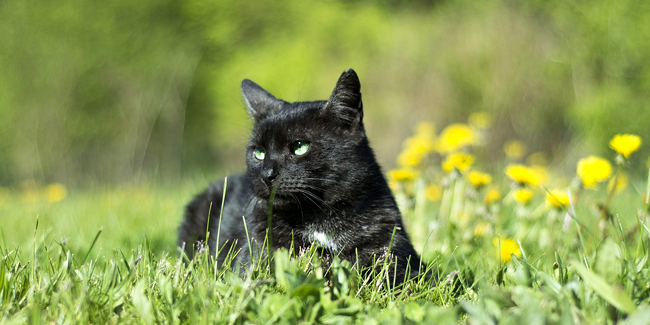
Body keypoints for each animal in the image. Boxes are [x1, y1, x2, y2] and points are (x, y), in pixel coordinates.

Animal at [177, 69, 420, 284]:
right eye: (258, 152)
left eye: (300, 146)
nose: (267, 175)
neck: (319, 218)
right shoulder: (254, 258)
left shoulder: (399, 258)